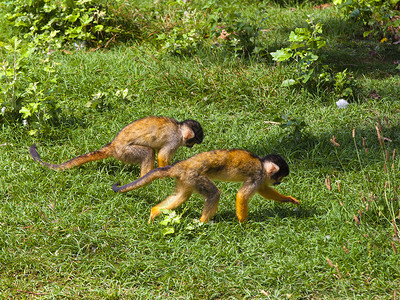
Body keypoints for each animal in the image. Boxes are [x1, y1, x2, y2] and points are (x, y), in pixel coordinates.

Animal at [29, 115, 203, 176]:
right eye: (194, 141)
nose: (192, 147)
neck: (179, 129)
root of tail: (112, 145)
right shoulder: (174, 140)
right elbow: (162, 156)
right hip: (124, 152)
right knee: (147, 152)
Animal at [111, 149, 298, 223]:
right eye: (279, 176)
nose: (279, 182)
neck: (262, 165)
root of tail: (181, 165)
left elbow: (263, 190)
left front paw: (288, 199)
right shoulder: (258, 175)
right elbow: (242, 195)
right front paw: (243, 223)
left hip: (186, 179)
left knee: (181, 196)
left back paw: (156, 211)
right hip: (195, 175)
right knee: (214, 194)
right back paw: (202, 223)